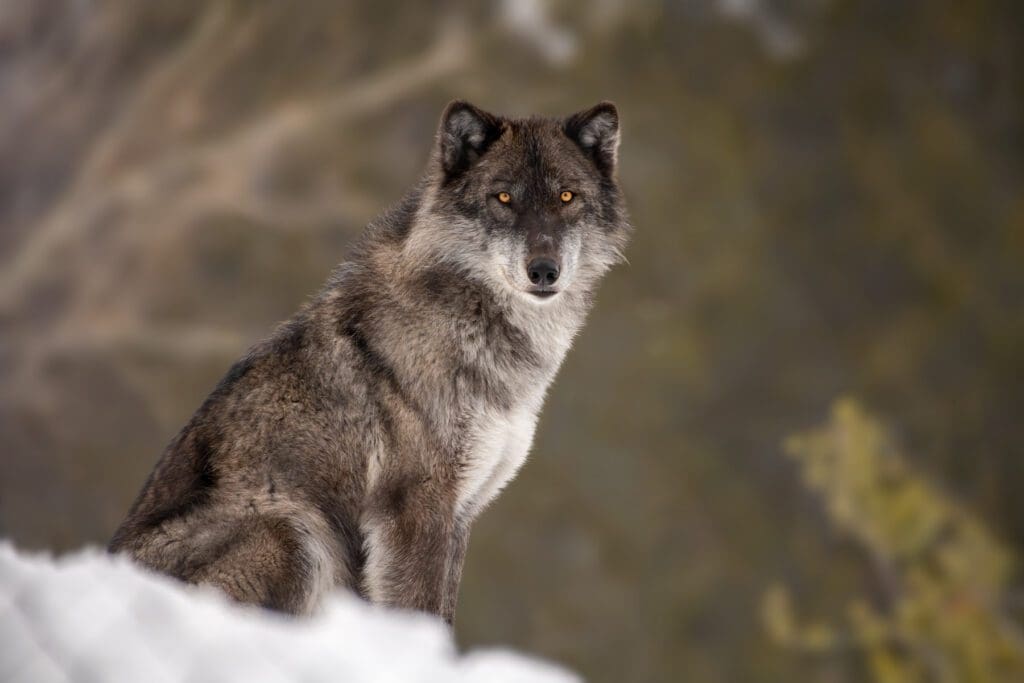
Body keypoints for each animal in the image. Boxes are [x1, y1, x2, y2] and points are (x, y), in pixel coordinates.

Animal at [108, 98, 626, 622]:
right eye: (503, 198)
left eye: (566, 197)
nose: (543, 271)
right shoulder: (414, 507)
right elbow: (420, 611)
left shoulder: (461, 512)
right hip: (294, 531)